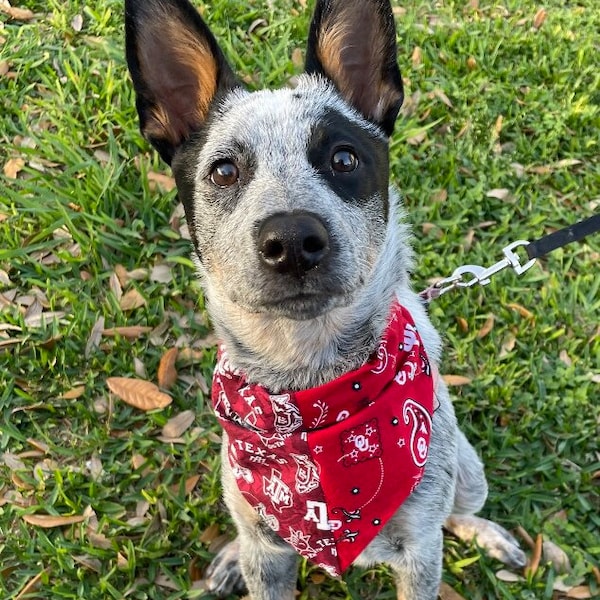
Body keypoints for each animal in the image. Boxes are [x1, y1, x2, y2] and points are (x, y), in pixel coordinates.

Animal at [125, 1, 524, 596]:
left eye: (343, 159)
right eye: (224, 170)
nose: (292, 240)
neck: (310, 386)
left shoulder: (420, 553)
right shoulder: (266, 543)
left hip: (468, 473)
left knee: (461, 507)